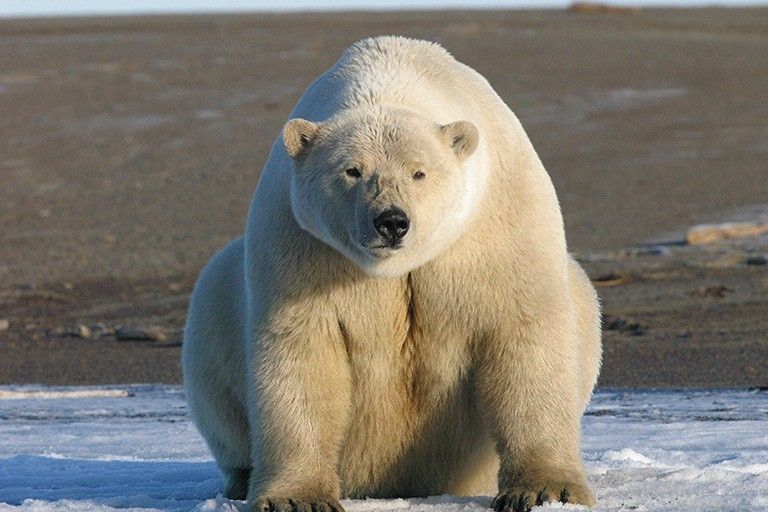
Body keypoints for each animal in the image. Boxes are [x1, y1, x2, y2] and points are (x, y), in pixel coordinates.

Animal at [182, 36, 602, 512]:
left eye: (420, 172)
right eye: (352, 170)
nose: (392, 221)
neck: (393, 78)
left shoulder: (498, 224)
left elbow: (523, 333)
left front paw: (547, 490)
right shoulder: (303, 245)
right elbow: (303, 351)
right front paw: (297, 498)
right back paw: (240, 481)